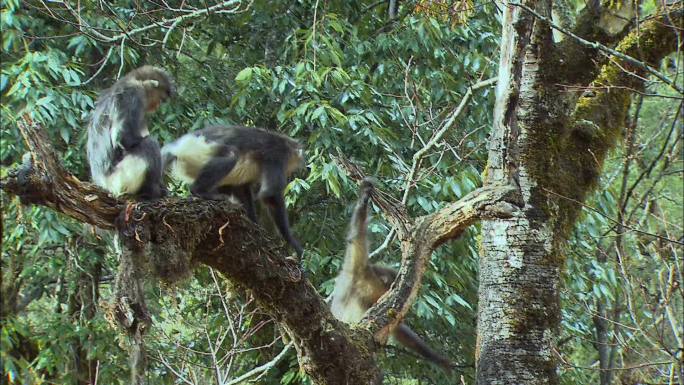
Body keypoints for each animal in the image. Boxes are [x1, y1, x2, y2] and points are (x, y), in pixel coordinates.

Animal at [87, 65, 176, 200]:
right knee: (149, 144)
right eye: (161, 99)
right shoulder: (133, 93)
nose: (157, 106)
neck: (132, 80)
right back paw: (152, 191)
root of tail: (103, 183)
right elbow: (123, 138)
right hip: (121, 179)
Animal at [160, 126, 304, 256]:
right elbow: (270, 195)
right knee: (230, 155)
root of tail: (179, 144)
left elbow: (243, 189)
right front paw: (292, 242)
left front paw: (254, 223)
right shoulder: (278, 154)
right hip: (198, 149)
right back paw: (200, 191)